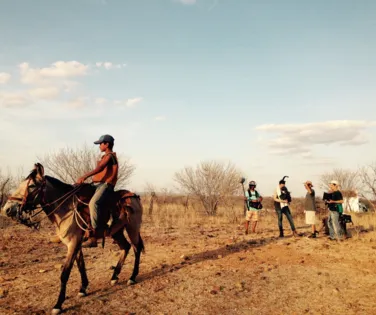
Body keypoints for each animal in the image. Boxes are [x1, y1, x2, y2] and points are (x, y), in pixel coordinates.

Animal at [1, 164, 144, 314]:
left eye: (32, 186)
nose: (7, 209)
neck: (66, 209)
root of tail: (134, 196)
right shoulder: (76, 244)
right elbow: (81, 266)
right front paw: (83, 289)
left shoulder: (73, 243)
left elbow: (65, 273)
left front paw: (58, 304)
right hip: (116, 232)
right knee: (126, 247)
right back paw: (114, 276)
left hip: (132, 229)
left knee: (137, 248)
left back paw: (132, 277)